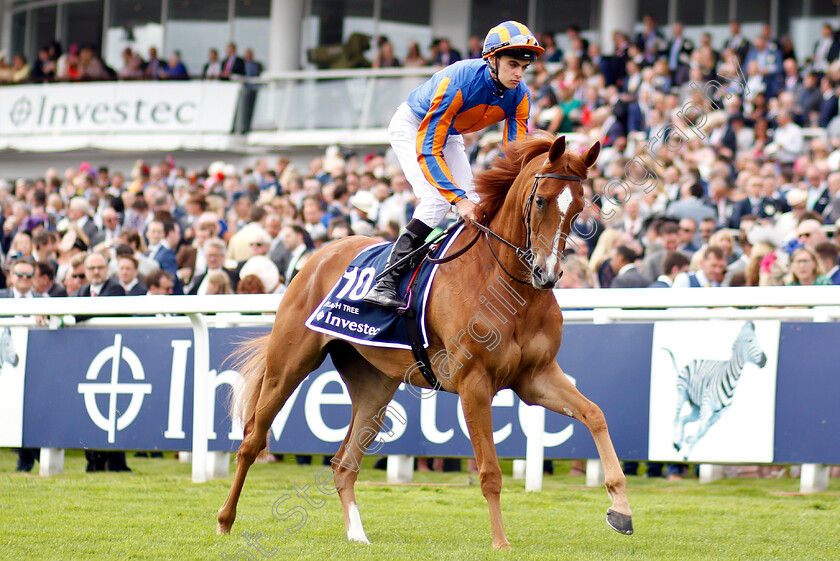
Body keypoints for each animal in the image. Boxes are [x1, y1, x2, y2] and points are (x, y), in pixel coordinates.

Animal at [220, 135, 632, 548]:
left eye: (578, 206)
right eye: (542, 200)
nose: (546, 273)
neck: (508, 286)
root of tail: (320, 253)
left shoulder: (536, 376)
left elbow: (595, 414)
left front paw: (621, 510)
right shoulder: (474, 383)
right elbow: (490, 471)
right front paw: (501, 542)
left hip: (374, 385)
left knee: (344, 464)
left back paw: (358, 535)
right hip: (288, 365)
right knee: (252, 440)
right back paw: (225, 520)